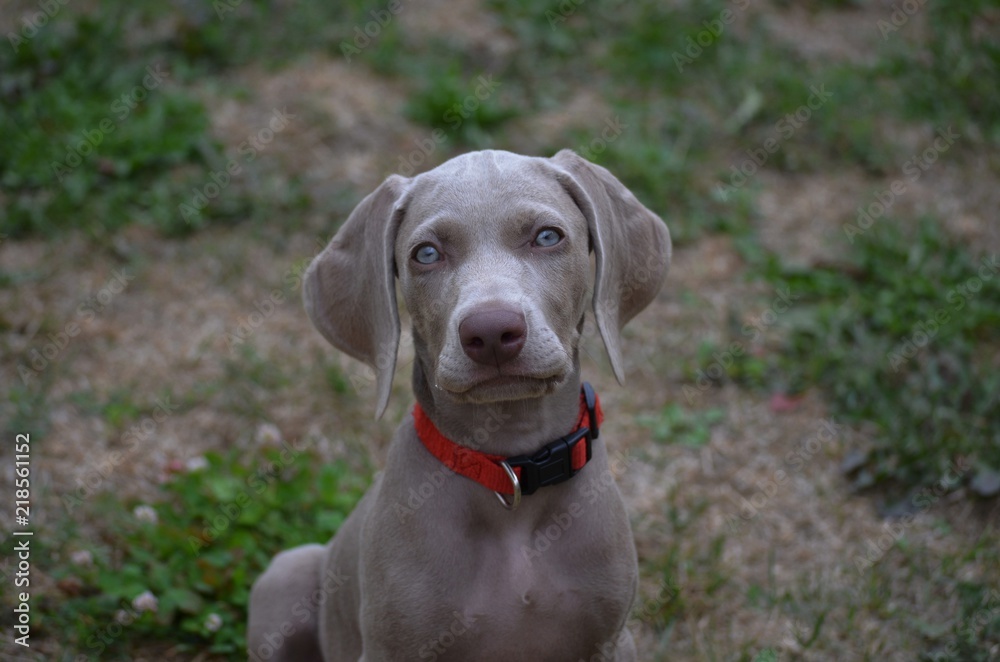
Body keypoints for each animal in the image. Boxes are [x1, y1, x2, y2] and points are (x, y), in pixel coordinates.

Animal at [249, 150, 672, 662]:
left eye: (547, 237)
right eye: (427, 253)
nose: (490, 331)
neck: (510, 466)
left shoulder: (611, 640)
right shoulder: (390, 650)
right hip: (286, 577)